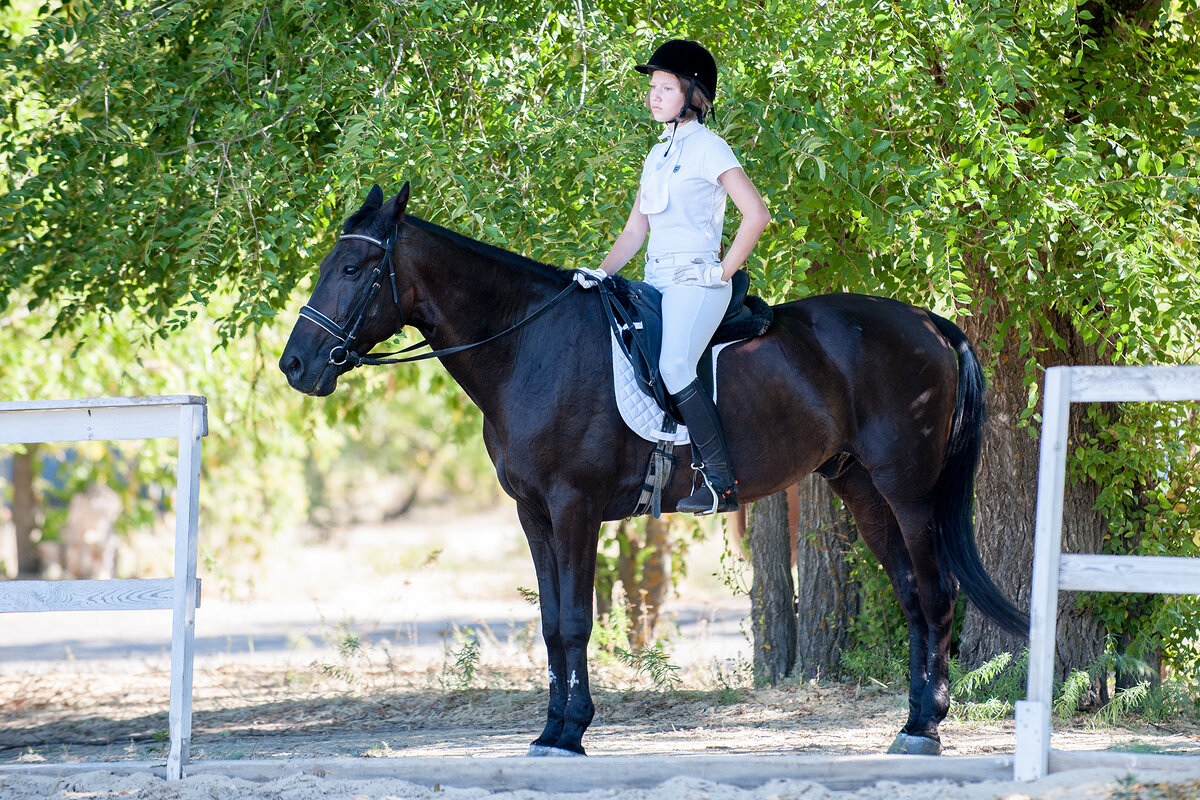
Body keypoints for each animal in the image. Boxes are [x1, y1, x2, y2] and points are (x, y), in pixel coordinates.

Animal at [278, 184, 1022, 762]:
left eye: (353, 267)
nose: (294, 365)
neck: (527, 344)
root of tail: (927, 322)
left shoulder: (573, 507)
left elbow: (574, 621)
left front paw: (571, 733)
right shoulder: (534, 514)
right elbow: (550, 622)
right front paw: (552, 730)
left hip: (908, 490)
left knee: (936, 592)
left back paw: (926, 728)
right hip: (859, 485)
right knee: (911, 594)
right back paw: (914, 720)